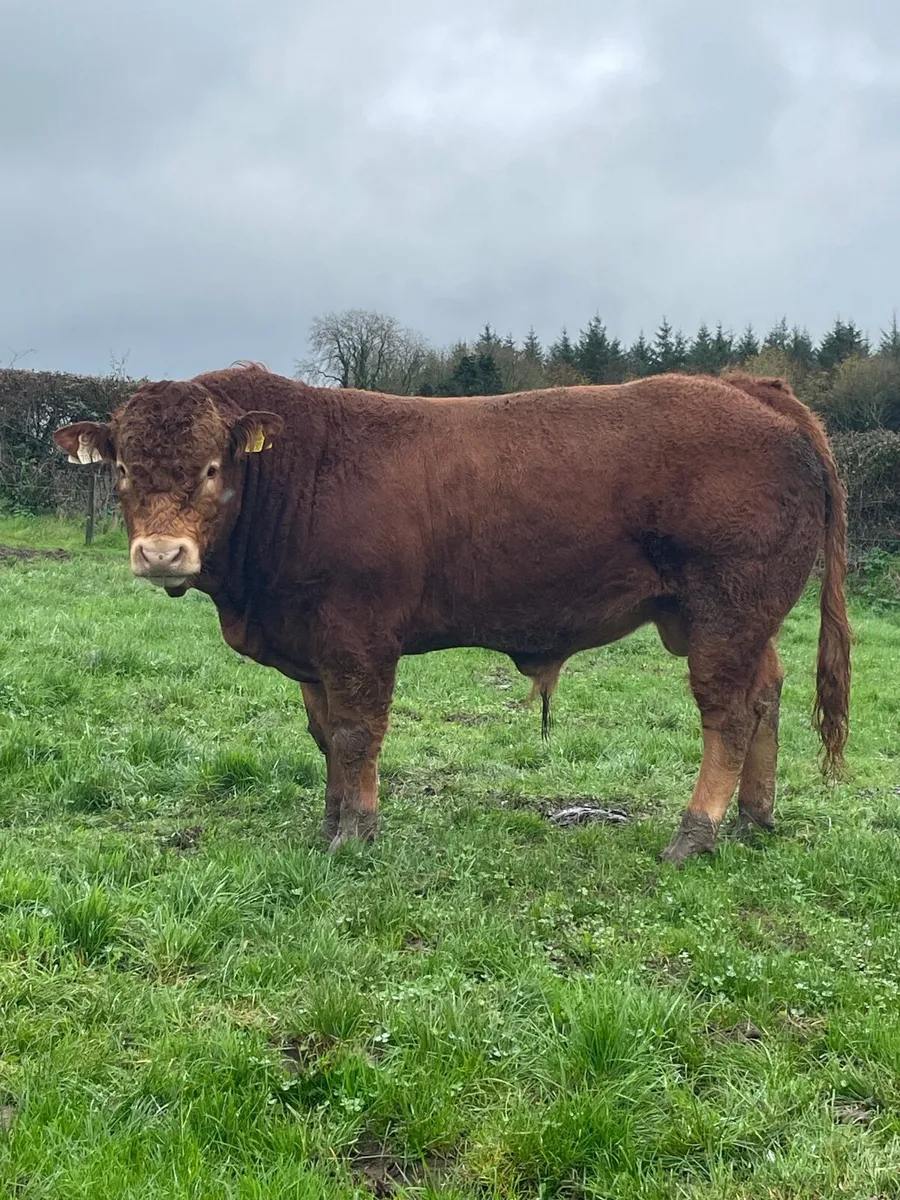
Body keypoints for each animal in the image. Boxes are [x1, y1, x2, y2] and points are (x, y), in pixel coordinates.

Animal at [53, 365, 851, 865]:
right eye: (121, 468)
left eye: (213, 467)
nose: (161, 553)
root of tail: (752, 390)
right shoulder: (310, 646)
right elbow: (324, 734)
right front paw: (330, 822)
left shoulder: (359, 637)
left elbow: (356, 733)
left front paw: (357, 835)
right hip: (735, 618)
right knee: (766, 694)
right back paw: (754, 819)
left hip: (726, 607)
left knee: (728, 713)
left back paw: (697, 834)